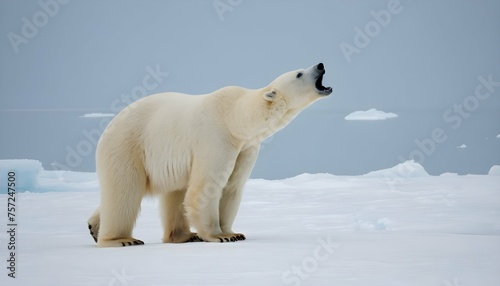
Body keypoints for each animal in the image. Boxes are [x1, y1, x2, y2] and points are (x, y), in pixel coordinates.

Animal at [88, 62, 334, 246]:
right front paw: (220, 235)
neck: (235, 117)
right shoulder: (217, 138)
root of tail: (108, 127)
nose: (320, 65)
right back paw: (120, 239)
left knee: (173, 191)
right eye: (299, 73)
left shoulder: (245, 148)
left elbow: (232, 186)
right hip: (126, 146)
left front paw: (233, 232)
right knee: (125, 190)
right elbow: (207, 187)